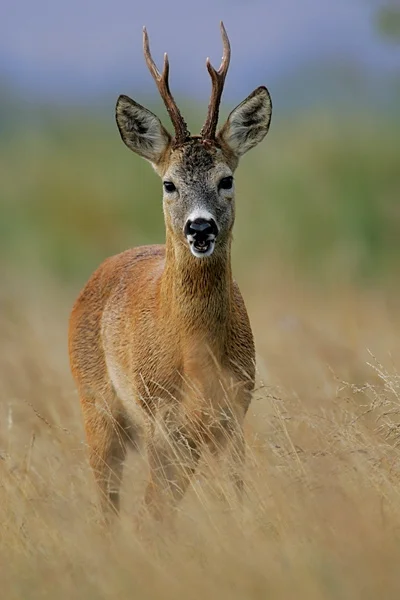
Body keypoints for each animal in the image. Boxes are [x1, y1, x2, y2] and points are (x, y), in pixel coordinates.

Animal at [69, 23, 272, 520]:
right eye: (168, 184)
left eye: (226, 179)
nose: (200, 227)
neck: (194, 349)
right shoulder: (161, 419)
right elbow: (153, 511)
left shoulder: (233, 413)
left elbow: (234, 498)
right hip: (96, 406)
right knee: (110, 502)